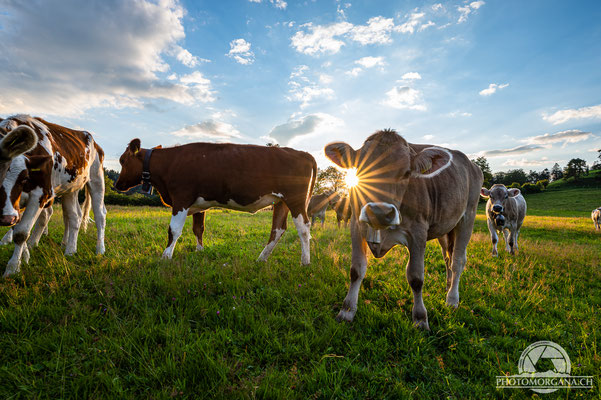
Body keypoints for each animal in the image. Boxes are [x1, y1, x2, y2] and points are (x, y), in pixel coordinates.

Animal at [0, 115, 106, 276]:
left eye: (24, 177)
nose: (5, 218)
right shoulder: (15, 206)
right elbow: (18, 228)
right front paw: (25, 255)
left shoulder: (40, 194)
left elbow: (22, 233)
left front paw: (12, 268)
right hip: (70, 189)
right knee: (74, 216)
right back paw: (70, 249)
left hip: (96, 180)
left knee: (100, 215)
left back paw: (99, 250)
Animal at [114, 139, 316, 264]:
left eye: (122, 160)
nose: (117, 184)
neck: (169, 163)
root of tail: (302, 153)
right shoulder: (198, 204)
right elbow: (198, 229)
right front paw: (199, 251)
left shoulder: (181, 199)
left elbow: (174, 230)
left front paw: (166, 256)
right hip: (281, 202)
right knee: (278, 229)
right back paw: (261, 258)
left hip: (295, 199)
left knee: (303, 227)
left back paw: (305, 262)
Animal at [324, 130, 482, 330]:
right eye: (359, 169)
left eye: (406, 173)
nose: (379, 212)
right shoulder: (356, 226)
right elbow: (356, 270)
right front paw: (347, 310)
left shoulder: (418, 232)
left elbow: (416, 277)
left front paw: (420, 318)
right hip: (446, 229)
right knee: (448, 257)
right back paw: (448, 287)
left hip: (467, 216)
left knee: (458, 261)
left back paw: (452, 299)